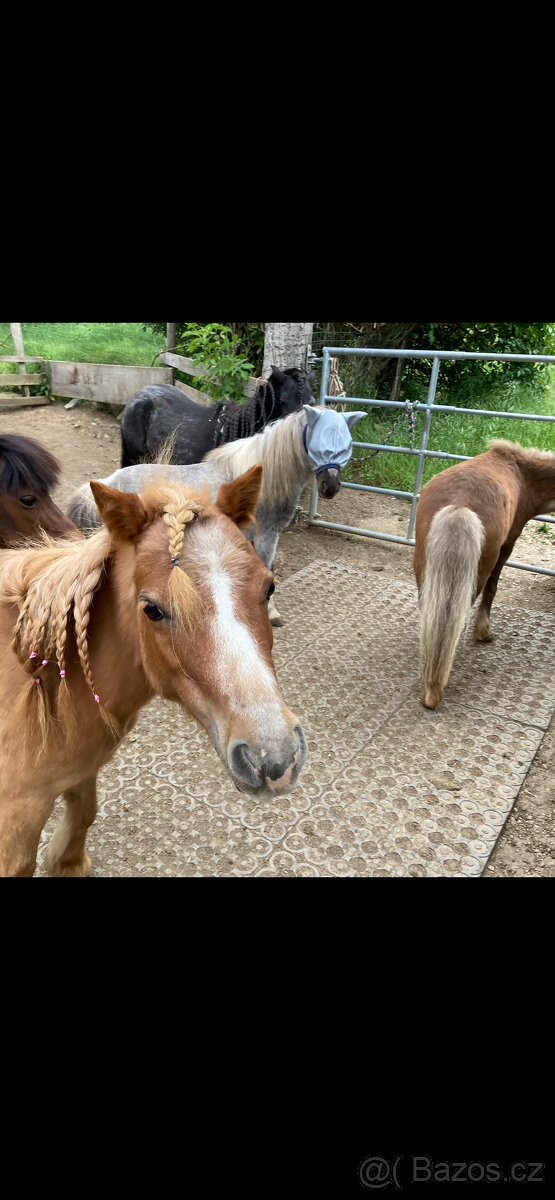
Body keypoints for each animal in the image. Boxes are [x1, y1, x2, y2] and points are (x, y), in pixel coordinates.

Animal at [0, 467, 307, 877]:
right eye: (152, 609)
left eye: (269, 587)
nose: (274, 757)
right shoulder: (18, 817)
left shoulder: (81, 771)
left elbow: (84, 812)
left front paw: (69, 863)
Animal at [68, 405, 366, 624]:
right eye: (320, 448)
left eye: (346, 447)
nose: (330, 487)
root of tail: (106, 483)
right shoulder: (268, 535)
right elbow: (267, 568)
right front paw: (271, 612)